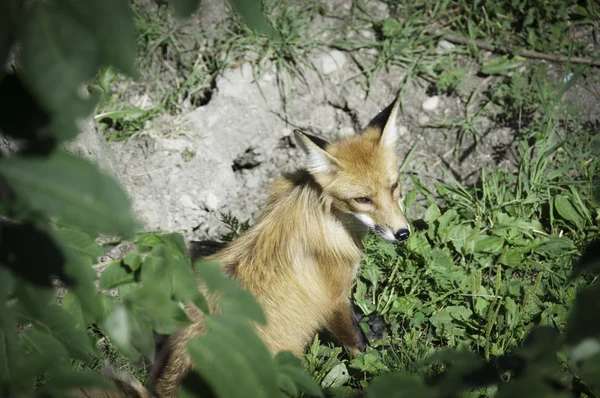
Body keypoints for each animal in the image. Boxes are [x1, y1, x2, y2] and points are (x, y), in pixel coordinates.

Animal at [72, 97, 410, 398]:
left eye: (394, 186)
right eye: (362, 199)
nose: (403, 233)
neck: (325, 217)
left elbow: (359, 320)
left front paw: (375, 328)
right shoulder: (332, 298)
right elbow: (357, 345)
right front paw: (378, 365)